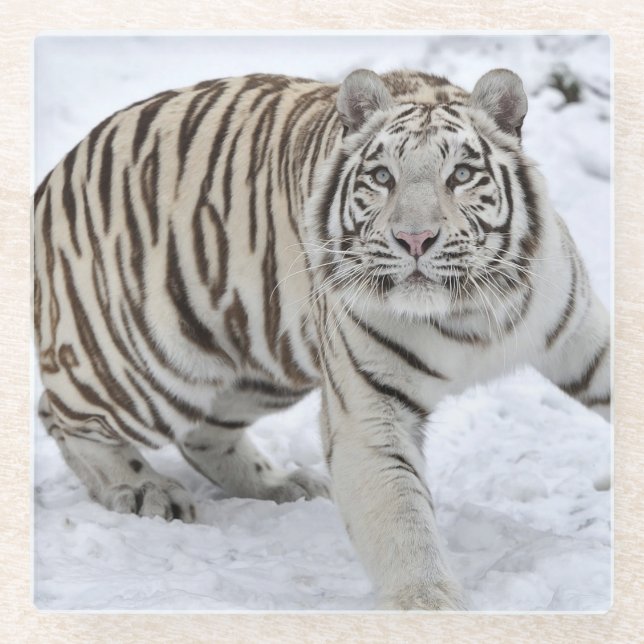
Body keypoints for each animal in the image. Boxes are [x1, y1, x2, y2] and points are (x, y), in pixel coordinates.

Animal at [33, 67, 610, 610]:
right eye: (382, 176)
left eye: (462, 175)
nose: (415, 238)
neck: (466, 312)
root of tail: (53, 176)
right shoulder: (370, 411)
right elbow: (402, 519)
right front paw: (426, 605)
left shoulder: (583, 335)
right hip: (150, 364)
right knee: (61, 413)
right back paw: (144, 489)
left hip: (265, 364)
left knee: (204, 433)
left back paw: (277, 484)